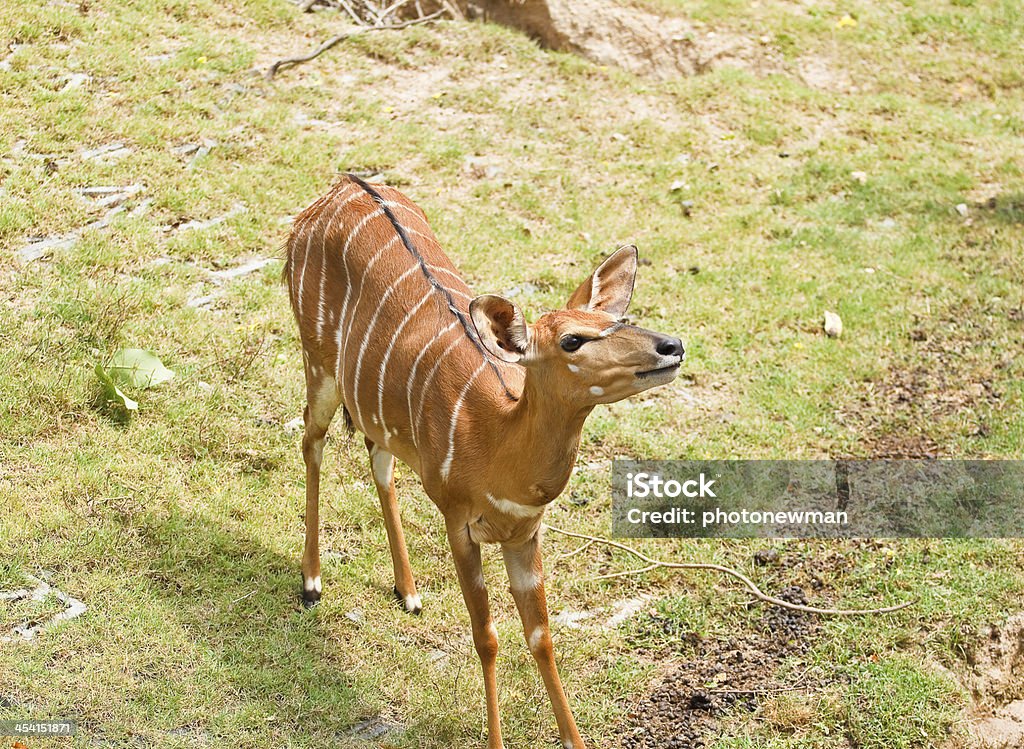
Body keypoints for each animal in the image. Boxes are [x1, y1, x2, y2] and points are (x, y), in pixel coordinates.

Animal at [284, 174, 684, 749]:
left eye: (620, 318)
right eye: (572, 339)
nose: (671, 346)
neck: (496, 443)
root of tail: (341, 184)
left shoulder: (524, 534)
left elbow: (541, 636)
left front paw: (575, 740)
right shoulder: (459, 523)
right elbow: (487, 636)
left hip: (374, 410)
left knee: (377, 459)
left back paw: (409, 592)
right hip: (317, 361)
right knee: (311, 441)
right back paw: (312, 582)